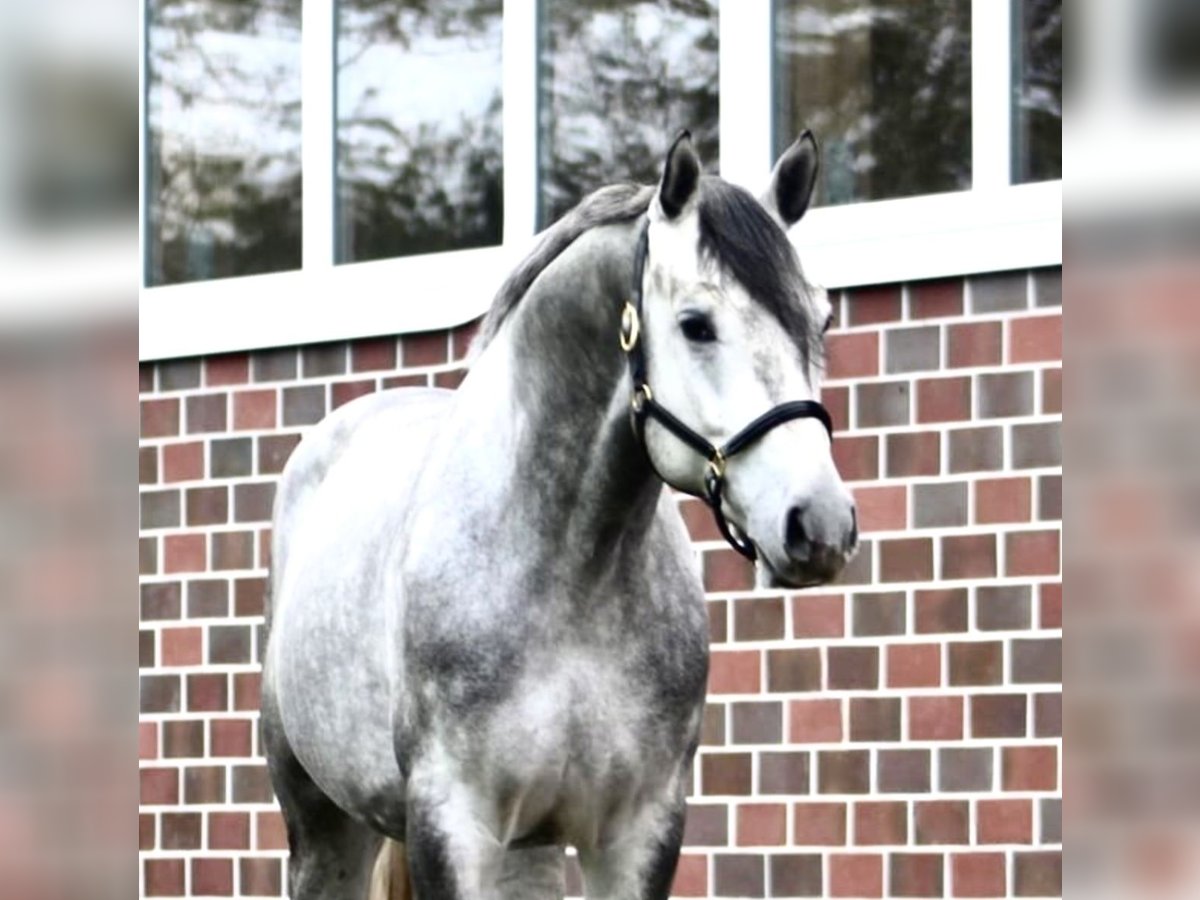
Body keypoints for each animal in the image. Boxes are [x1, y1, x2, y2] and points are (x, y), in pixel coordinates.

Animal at [266, 133, 859, 900]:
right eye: (696, 325)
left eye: (820, 319)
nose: (820, 523)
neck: (571, 571)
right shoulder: (451, 827)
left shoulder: (641, 831)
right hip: (323, 825)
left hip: (528, 849)